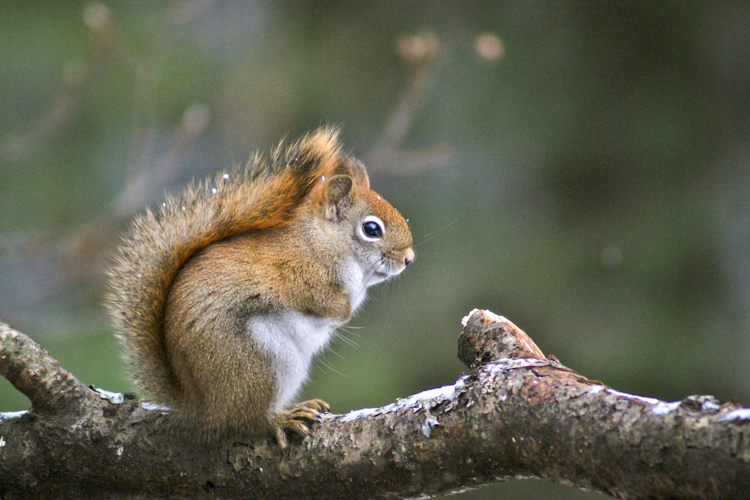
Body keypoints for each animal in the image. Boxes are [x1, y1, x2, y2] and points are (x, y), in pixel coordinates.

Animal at [104, 128, 418, 446]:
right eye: (371, 229)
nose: (409, 258)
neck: (323, 243)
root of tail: (201, 408)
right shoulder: (296, 275)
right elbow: (319, 301)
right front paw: (342, 314)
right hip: (259, 362)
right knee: (245, 420)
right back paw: (281, 418)